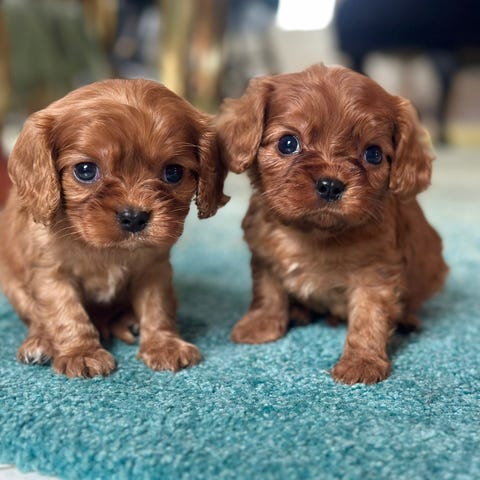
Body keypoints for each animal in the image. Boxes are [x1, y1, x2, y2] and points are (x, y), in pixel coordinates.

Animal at [0, 78, 228, 378]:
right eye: (85, 170)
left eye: (173, 172)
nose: (134, 217)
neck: (106, 250)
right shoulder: (51, 274)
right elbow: (65, 312)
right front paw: (82, 353)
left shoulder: (154, 268)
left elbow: (157, 307)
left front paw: (165, 345)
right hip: (12, 285)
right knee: (36, 317)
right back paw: (39, 342)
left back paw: (128, 321)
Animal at [217, 64, 448, 384]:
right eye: (288, 143)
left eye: (373, 154)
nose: (330, 185)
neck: (314, 234)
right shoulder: (264, 254)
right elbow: (268, 292)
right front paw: (261, 325)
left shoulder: (375, 274)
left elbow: (369, 317)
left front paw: (362, 362)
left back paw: (407, 320)